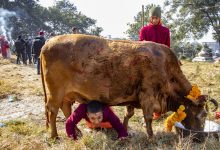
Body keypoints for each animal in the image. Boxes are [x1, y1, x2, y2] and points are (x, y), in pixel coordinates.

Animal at [40, 34, 217, 138]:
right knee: (53, 111)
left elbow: (128, 115)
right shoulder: (147, 96)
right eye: (202, 115)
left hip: (67, 95)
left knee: (66, 109)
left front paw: (125, 131)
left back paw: (76, 131)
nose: (198, 134)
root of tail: (48, 42)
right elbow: (147, 118)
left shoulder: (133, 98)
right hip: (56, 93)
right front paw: (151, 137)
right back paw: (54, 135)